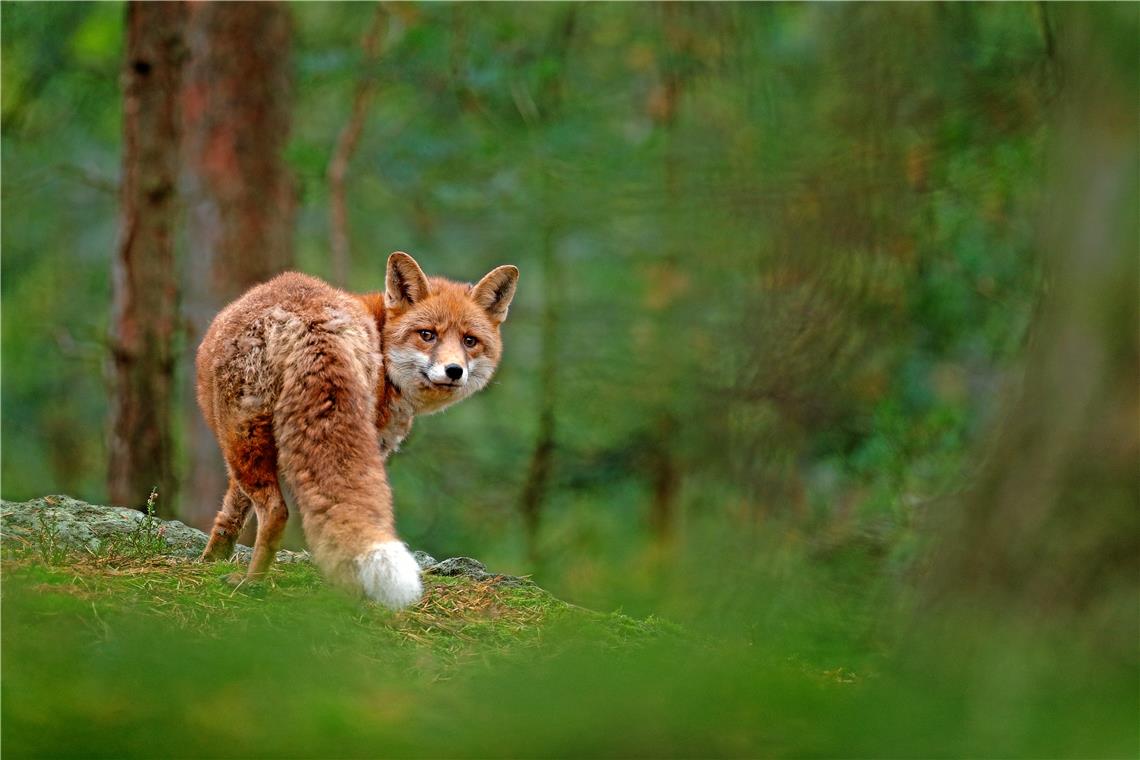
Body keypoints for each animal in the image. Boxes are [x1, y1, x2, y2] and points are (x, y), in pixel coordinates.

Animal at [194, 252, 517, 610]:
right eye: (427, 334)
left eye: (469, 341)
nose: (454, 370)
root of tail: (312, 322)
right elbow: (232, 511)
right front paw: (212, 559)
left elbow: (231, 511)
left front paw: (211, 560)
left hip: (240, 437)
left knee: (277, 512)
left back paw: (252, 582)